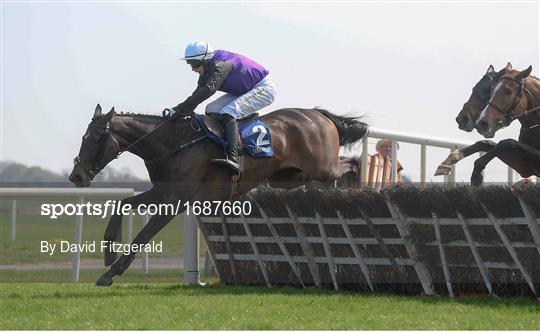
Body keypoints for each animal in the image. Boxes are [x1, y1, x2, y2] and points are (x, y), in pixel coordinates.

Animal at [69, 105, 370, 286]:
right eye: (83, 137)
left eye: (94, 138)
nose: (77, 176)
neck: (172, 144)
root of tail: (320, 115)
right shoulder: (162, 191)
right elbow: (121, 204)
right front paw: (108, 251)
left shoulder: (175, 200)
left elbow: (144, 235)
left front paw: (111, 273)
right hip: (290, 176)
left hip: (322, 167)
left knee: (352, 164)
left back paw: (354, 190)